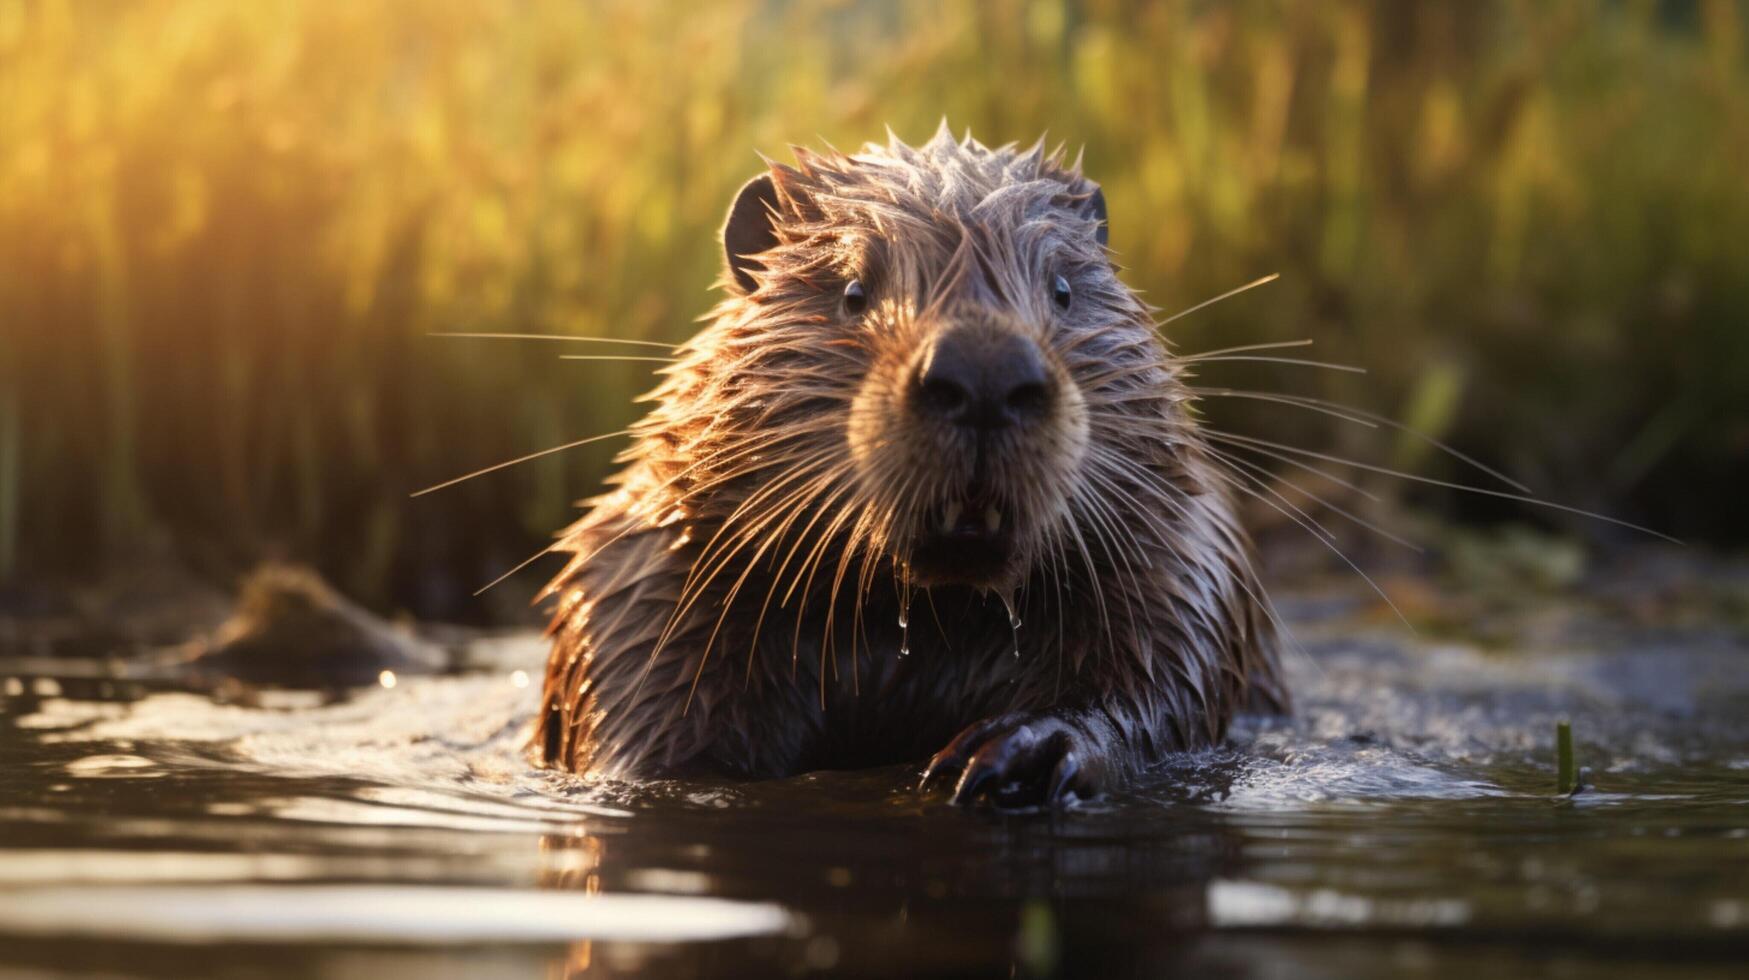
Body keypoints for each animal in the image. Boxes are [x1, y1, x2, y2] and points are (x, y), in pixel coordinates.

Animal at [528, 128, 1287, 805]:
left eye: (1065, 289)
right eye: (853, 291)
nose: (985, 374)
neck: (928, 618)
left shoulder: (1186, 555)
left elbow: (1163, 667)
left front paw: (1023, 751)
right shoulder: (641, 586)